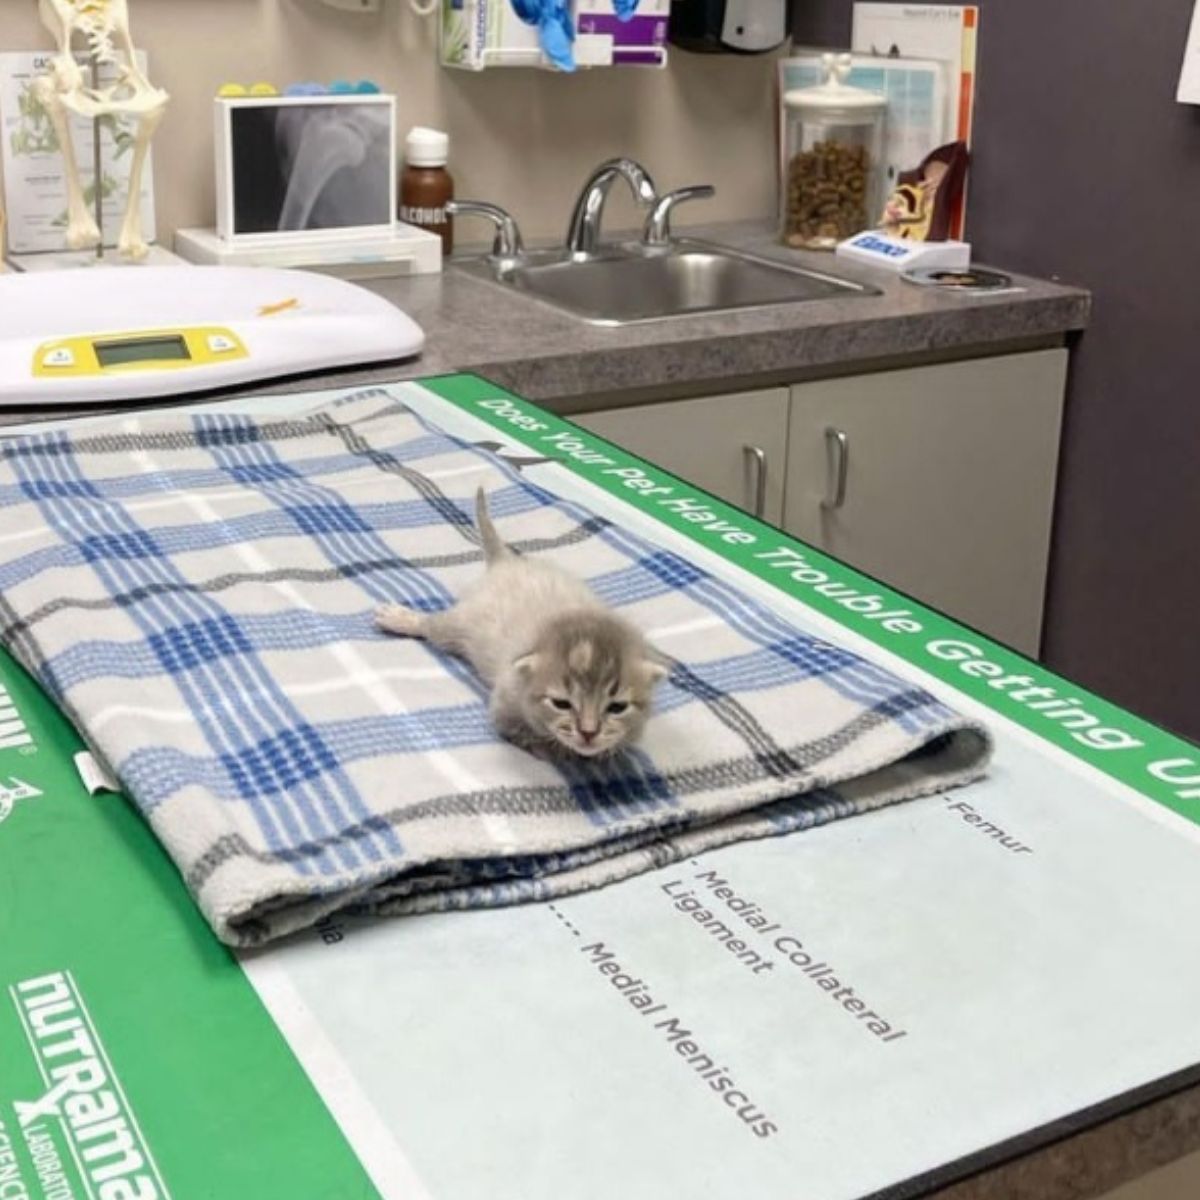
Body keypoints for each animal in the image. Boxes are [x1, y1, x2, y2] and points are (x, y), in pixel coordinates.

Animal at [374, 489, 667, 758]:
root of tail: (505, 561)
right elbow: (533, 738)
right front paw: (556, 748)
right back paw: (401, 618)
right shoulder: (505, 705)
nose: (588, 732)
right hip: (456, 625)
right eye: (561, 703)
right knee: (432, 625)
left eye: (617, 707)